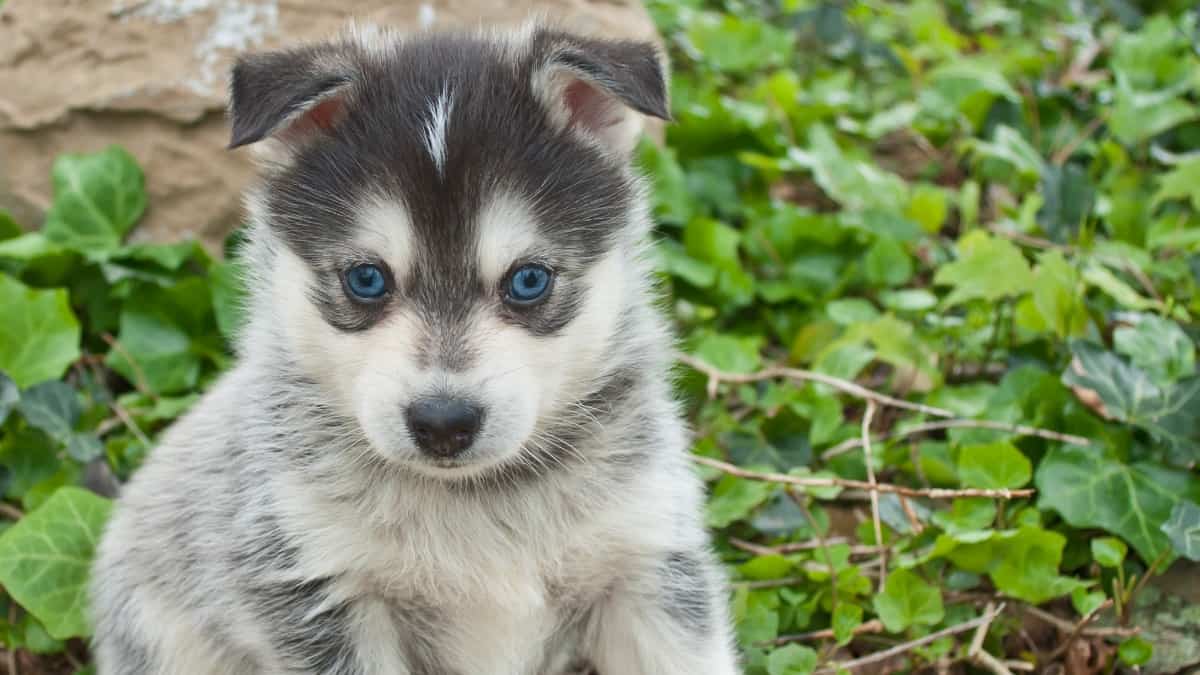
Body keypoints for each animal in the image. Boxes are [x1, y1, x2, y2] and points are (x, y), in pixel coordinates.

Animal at [88, 21, 739, 672]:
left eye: (529, 280)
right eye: (366, 279)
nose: (444, 423)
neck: (475, 502)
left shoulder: (649, 561)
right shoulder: (319, 586)